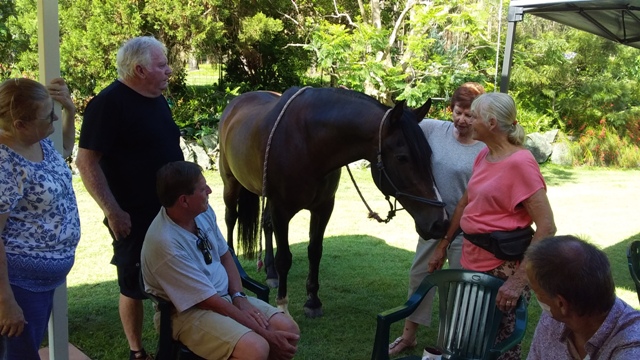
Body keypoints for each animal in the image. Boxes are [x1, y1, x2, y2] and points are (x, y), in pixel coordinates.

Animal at [218, 88, 448, 318]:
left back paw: (271, 272)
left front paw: (312, 301)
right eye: (402, 158)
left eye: (429, 154)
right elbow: (285, 257)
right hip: (230, 183)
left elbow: (315, 251)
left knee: (265, 224)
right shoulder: (281, 210)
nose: (440, 223)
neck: (307, 143)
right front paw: (283, 306)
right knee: (231, 218)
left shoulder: (323, 208)